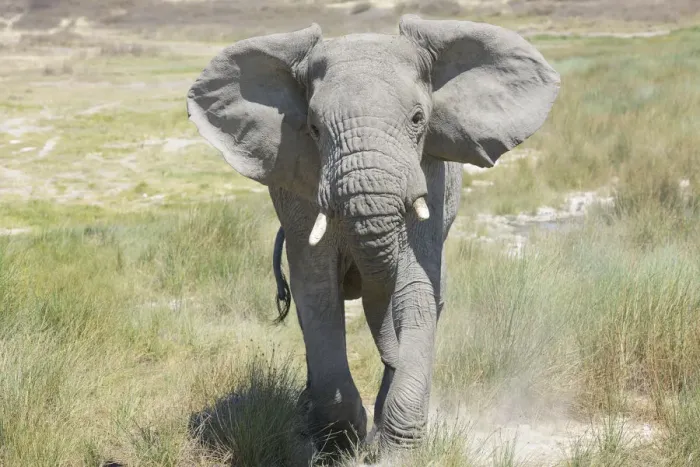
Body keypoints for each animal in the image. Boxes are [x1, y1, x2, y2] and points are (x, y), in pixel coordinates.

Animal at [186, 15, 559, 456]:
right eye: (314, 128)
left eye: (418, 119)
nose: (392, 361)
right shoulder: (300, 192)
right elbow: (317, 292)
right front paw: (341, 441)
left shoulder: (429, 173)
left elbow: (415, 288)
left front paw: (394, 450)